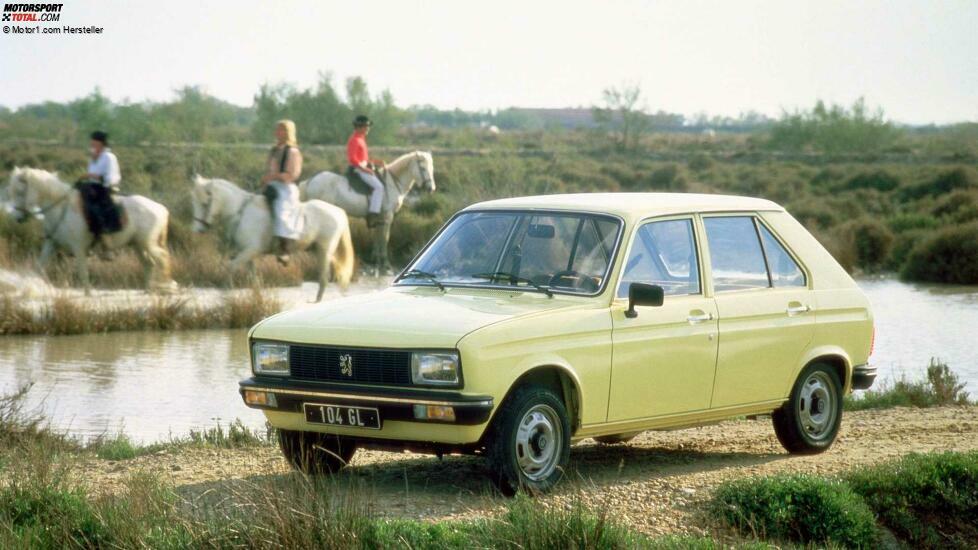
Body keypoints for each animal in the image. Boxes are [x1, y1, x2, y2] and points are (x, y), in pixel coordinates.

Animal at [6, 167, 175, 296]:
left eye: (20, 192)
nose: (17, 217)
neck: (61, 208)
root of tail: (162, 208)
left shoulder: (79, 248)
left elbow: (82, 272)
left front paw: (88, 294)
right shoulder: (51, 244)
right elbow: (39, 267)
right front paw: (28, 286)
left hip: (148, 244)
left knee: (163, 259)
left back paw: (167, 285)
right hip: (138, 245)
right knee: (148, 264)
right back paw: (147, 290)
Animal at [189, 176, 352, 302]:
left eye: (205, 203)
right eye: (194, 202)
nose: (198, 229)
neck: (241, 212)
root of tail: (339, 211)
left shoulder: (251, 251)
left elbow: (230, 267)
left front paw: (225, 290)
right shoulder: (248, 255)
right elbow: (253, 278)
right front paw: (256, 297)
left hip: (324, 250)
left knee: (324, 277)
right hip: (320, 250)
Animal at [298, 151, 434, 276]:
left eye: (431, 168)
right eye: (423, 168)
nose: (431, 188)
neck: (392, 183)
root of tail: (310, 181)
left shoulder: (379, 219)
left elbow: (377, 238)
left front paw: (376, 259)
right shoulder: (387, 217)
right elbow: (385, 238)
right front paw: (386, 264)